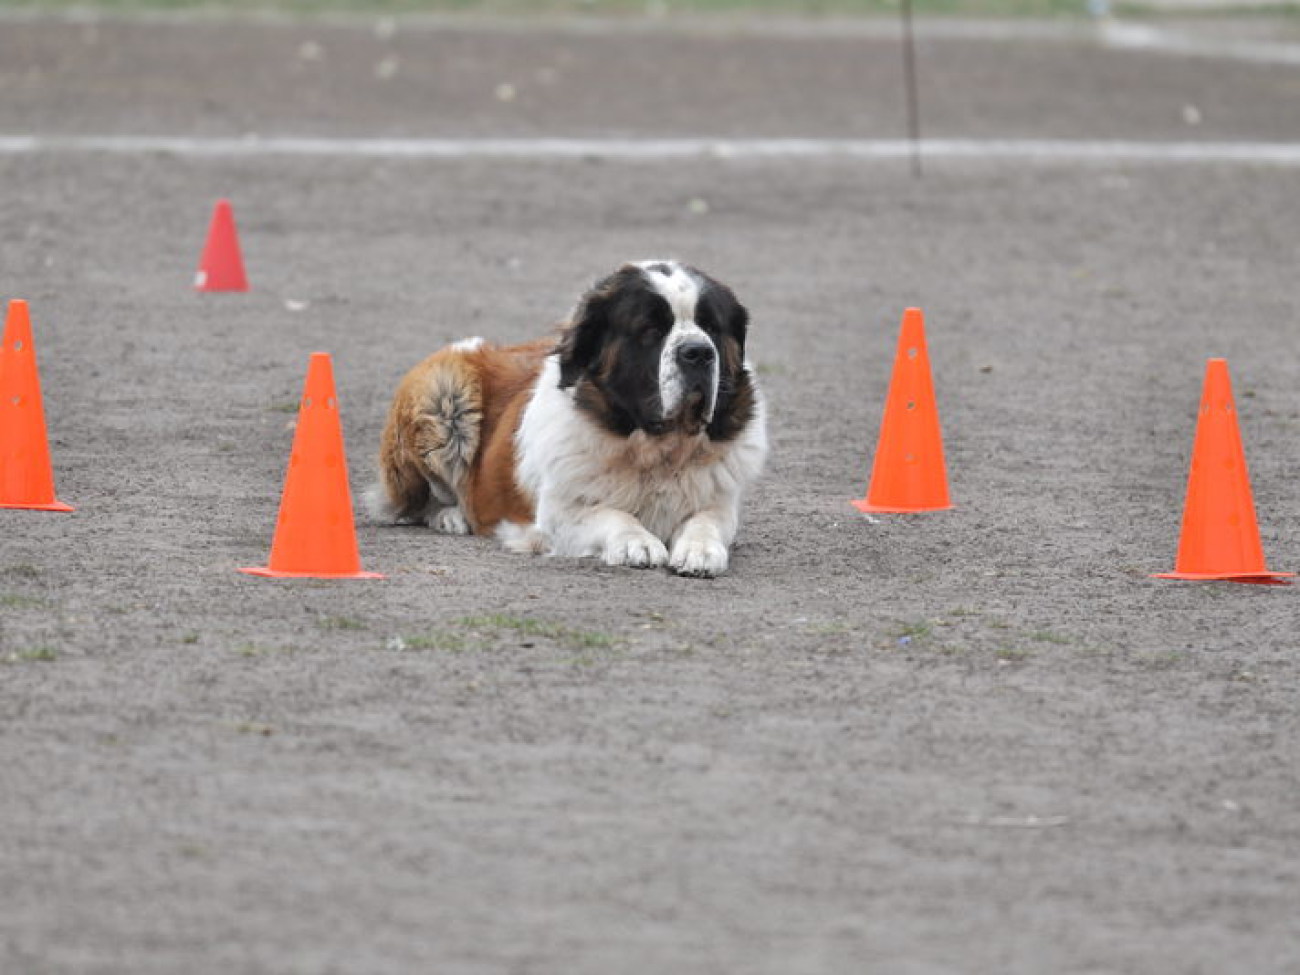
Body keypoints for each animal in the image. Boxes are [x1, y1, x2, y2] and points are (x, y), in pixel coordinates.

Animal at [366, 261, 764, 579]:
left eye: (711, 328)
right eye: (650, 330)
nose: (698, 352)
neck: (654, 450)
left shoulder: (720, 504)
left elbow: (706, 520)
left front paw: (700, 549)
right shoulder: (558, 515)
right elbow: (610, 514)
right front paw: (637, 542)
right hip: (441, 391)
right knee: (417, 502)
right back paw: (452, 516)